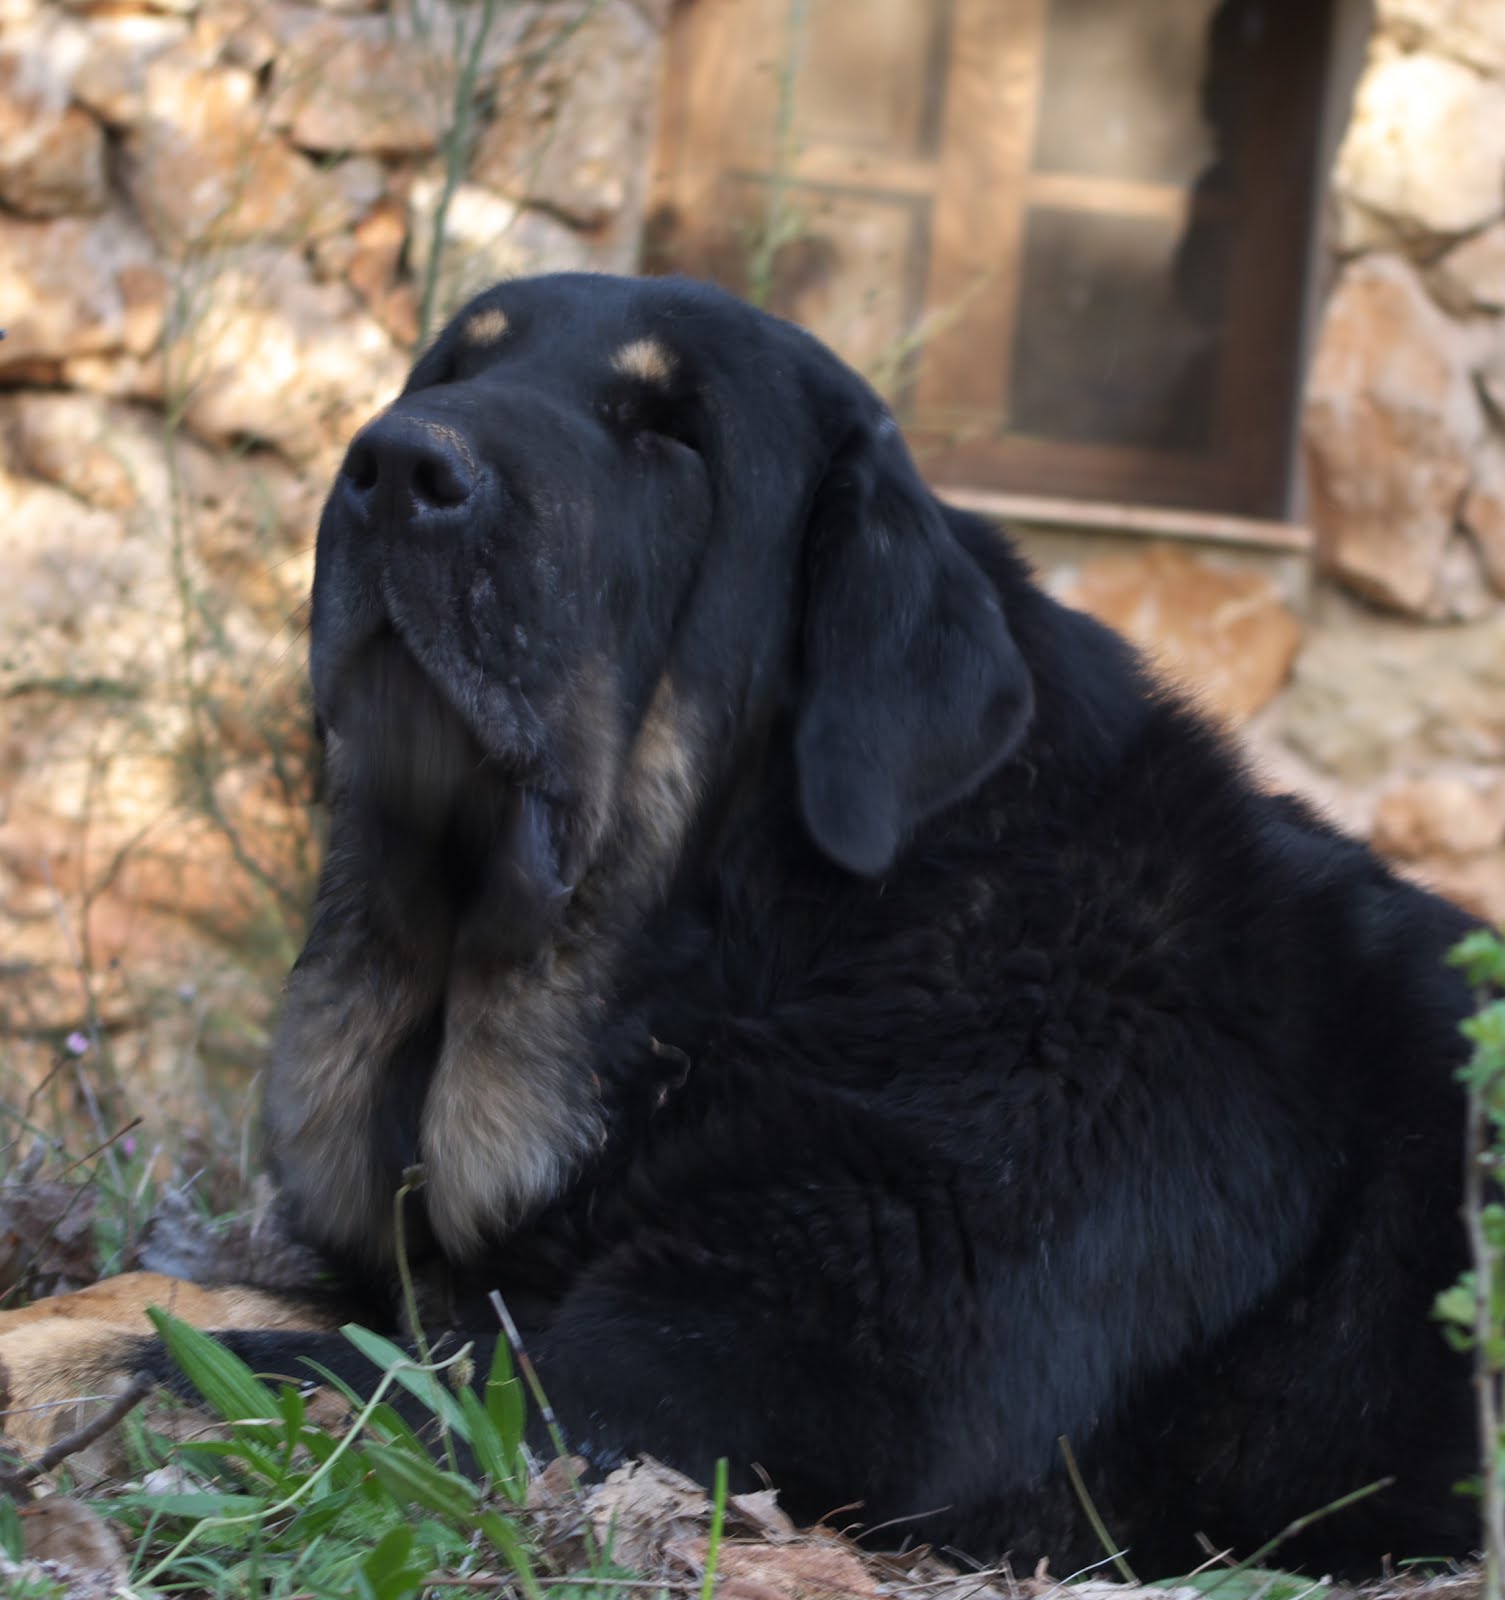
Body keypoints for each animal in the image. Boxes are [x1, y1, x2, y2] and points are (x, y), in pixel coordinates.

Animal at [2, 275, 1477, 1574]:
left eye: (673, 436)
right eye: (452, 372)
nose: (396, 465)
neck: (772, 966)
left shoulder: (656, 1381)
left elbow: (195, 1360)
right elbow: (152, 1302)